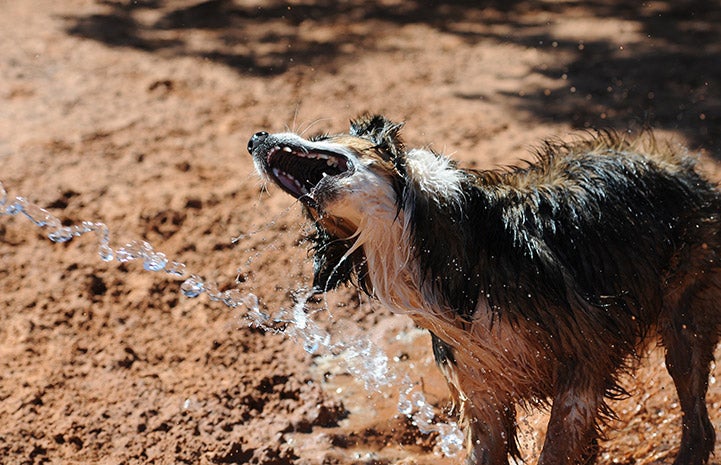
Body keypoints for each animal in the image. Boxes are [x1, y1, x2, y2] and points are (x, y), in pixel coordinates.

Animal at [245, 116, 716, 464]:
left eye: (322, 137)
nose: (253, 138)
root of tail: (678, 164)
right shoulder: (481, 393)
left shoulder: (584, 363)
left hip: (685, 327)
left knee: (700, 427)